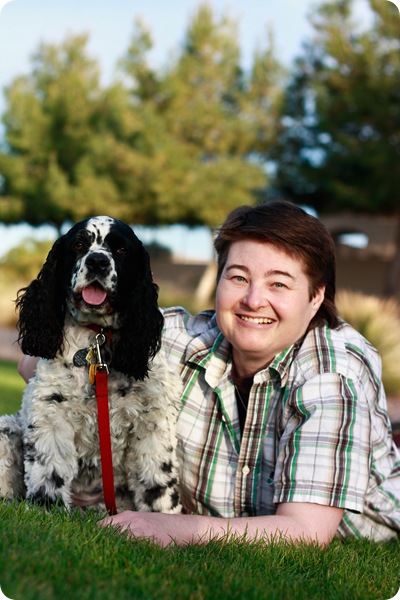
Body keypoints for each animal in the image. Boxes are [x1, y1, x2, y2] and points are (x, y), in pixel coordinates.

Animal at [0, 218, 182, 512]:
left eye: (121, 249)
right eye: (78, 245)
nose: (98, 261)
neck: (98, 338)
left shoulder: (152, 421)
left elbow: (158, 481)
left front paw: (162, 516)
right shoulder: (51, 414)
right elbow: (49, 471)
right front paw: (46, 508)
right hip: (6, 430)